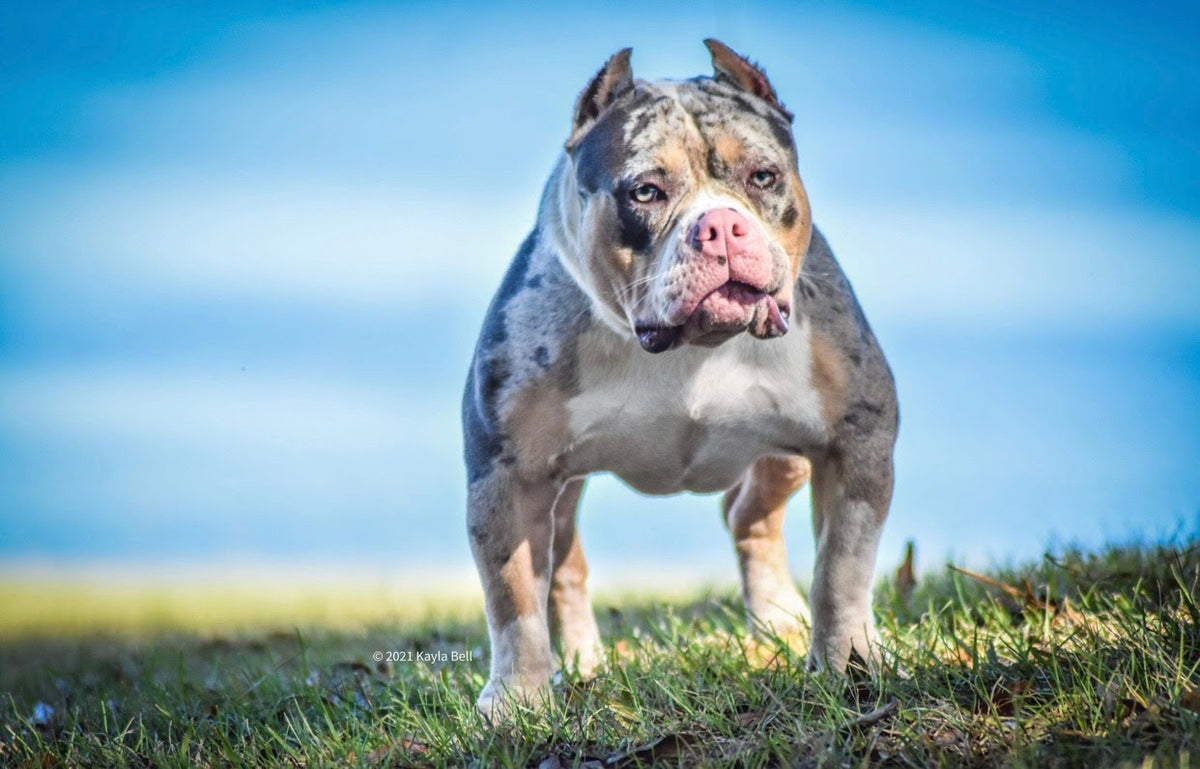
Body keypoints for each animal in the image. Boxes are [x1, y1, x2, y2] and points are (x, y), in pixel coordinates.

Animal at [463, 40, 897, 715]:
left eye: (763, 177)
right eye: (645, 192)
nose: (720, 225)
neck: (692, 349)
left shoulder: (855, 442)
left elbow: (842, 569)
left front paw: (848, 664)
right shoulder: (508, 474)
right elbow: (513, 601)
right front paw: (517, 699)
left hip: (787, 457)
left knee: (749, 516)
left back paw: (778, 618)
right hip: (559, 493)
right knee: (564, 568)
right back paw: (582, 662)